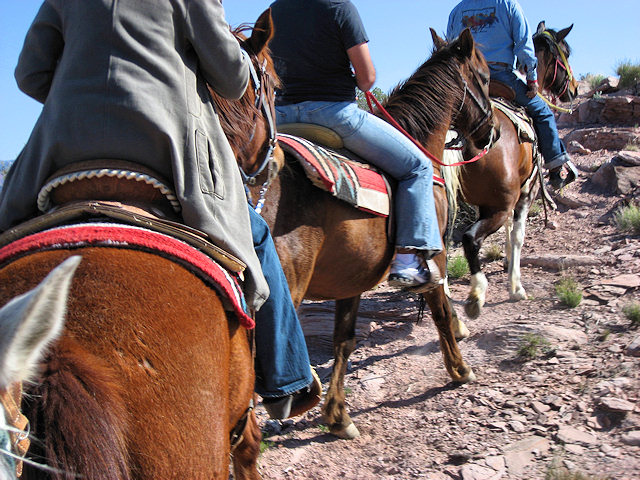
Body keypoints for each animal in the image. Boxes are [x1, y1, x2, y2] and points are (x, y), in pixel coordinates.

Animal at [232, 28, 499, 439]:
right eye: (484, 77)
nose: (491, 133)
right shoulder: (434, 256)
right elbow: (439, 312)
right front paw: (460, 369)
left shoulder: (351, 278)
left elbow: (344, 340)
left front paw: (337, 415)